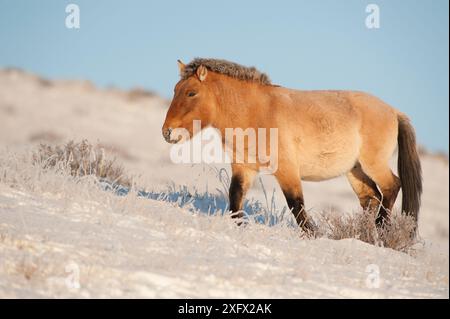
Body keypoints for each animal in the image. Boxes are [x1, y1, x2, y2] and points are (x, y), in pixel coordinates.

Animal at [162, 57, 422, 234]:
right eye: (175, 90)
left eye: (191, 93)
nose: (168, 132)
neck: (255, 112)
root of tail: (393, 111)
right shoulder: (244, 167)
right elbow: (235, 198)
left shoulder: (286, 169)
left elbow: (296, 204)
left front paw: (314, 235)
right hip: (354, 170)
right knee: (371, 198)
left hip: (373, 164)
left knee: (391, 186)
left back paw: (380, 228)